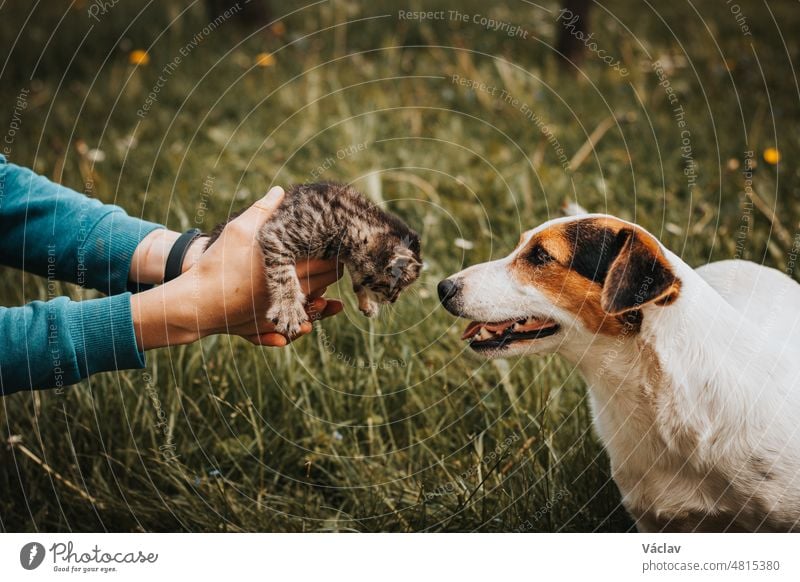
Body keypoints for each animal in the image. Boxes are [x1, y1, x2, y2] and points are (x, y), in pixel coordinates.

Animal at [203, 182, 422, 338]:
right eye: (395, 288)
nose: (393, 300)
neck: (351, 220)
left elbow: (357, 279)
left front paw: (367, 302)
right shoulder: (278, 232)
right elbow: (283, 274)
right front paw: (288, 306)